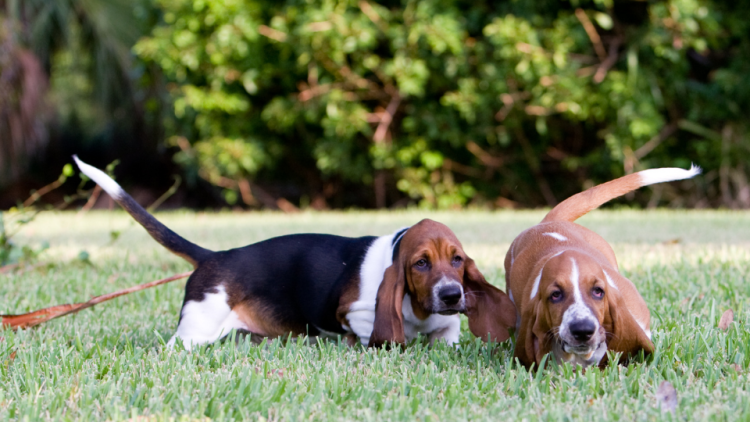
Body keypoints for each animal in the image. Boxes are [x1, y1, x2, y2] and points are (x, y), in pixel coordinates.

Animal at [73, 155, 516, 350]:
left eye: (457, 260)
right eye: (420, 263)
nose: (451, 295)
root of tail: (215, 256)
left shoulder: (445, 325)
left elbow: (447, 335)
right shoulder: (355, 312)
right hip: (195, 331)